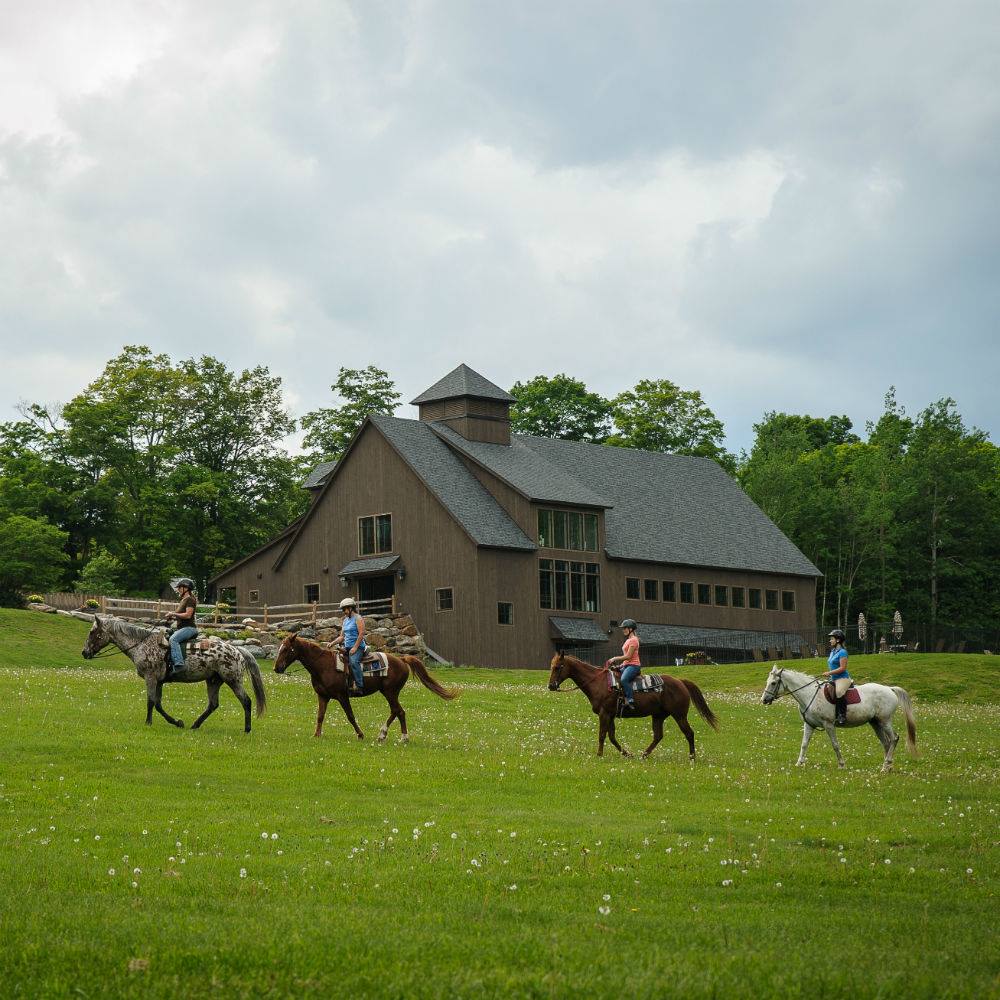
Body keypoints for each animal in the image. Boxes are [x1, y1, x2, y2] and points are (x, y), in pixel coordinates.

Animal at [81, 612, 266, 732]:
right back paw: (194, 725)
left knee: (246, 701)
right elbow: (157, 703)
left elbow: (151, 702)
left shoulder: (151, 678)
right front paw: (177, 722)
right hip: (213, 681)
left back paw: (247, 729)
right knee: (213, 705)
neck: (142, 644)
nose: (84, 652)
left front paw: (149, 722)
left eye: (92, 632)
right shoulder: (159, 681)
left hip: (233, 680)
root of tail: (237, 650)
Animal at [276, 636, 458, 740]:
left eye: (286, 649)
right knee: (395, 711)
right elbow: (320, 716)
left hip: (391, 692)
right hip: (388, 692)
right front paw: (316, 735)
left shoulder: (342, 696)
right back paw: (383, 734)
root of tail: (402, 659)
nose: (276, 668)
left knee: (399, 711)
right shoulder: (323, 696)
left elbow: (350, 716)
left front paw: (360, 734)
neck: (323, 665)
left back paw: (403, 737)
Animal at [548, 648, 720, 756]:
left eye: (558, 667)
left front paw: (599, 754)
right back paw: (643, 755)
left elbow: (602, 735)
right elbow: (612, 736)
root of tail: (680, 682)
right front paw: (627, 754)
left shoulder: (604, 713)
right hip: (658, 716)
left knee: (689, 733)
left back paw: (692, 758)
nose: (551, 686)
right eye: (551, 666)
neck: (598, 682)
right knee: (658, 736)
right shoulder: (610, 715)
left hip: (679, 715)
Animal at [760, 664, 916, 772]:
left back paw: (886, 766)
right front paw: (799, 763)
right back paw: (887, 766)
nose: (764, 700)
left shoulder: (828, 725)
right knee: (886, 742)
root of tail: (889, 689)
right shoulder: (809, 724)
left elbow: (835, 745)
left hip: (885, 720)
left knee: (894, 739)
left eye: (773, 683)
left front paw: (841, 765)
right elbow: (804, 744)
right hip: (875, 723)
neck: (809, 694)